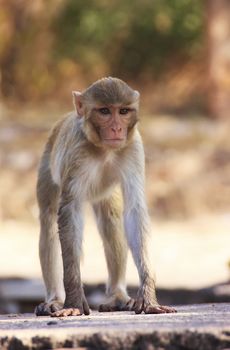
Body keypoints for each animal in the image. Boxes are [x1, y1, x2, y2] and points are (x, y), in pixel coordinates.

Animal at [35, 76, 176, 318]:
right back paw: (54, 299)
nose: (117, 128)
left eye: (123, 111)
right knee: (49, 219)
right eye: (104, 111)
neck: (103, 148)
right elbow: (69, 211)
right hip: (47, 166)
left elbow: (134, 211)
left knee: (111, 218)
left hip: (105, 193)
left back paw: (117, 296)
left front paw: (148, 297)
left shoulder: (133, 148)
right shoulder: (76, 153)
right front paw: (73, 301)